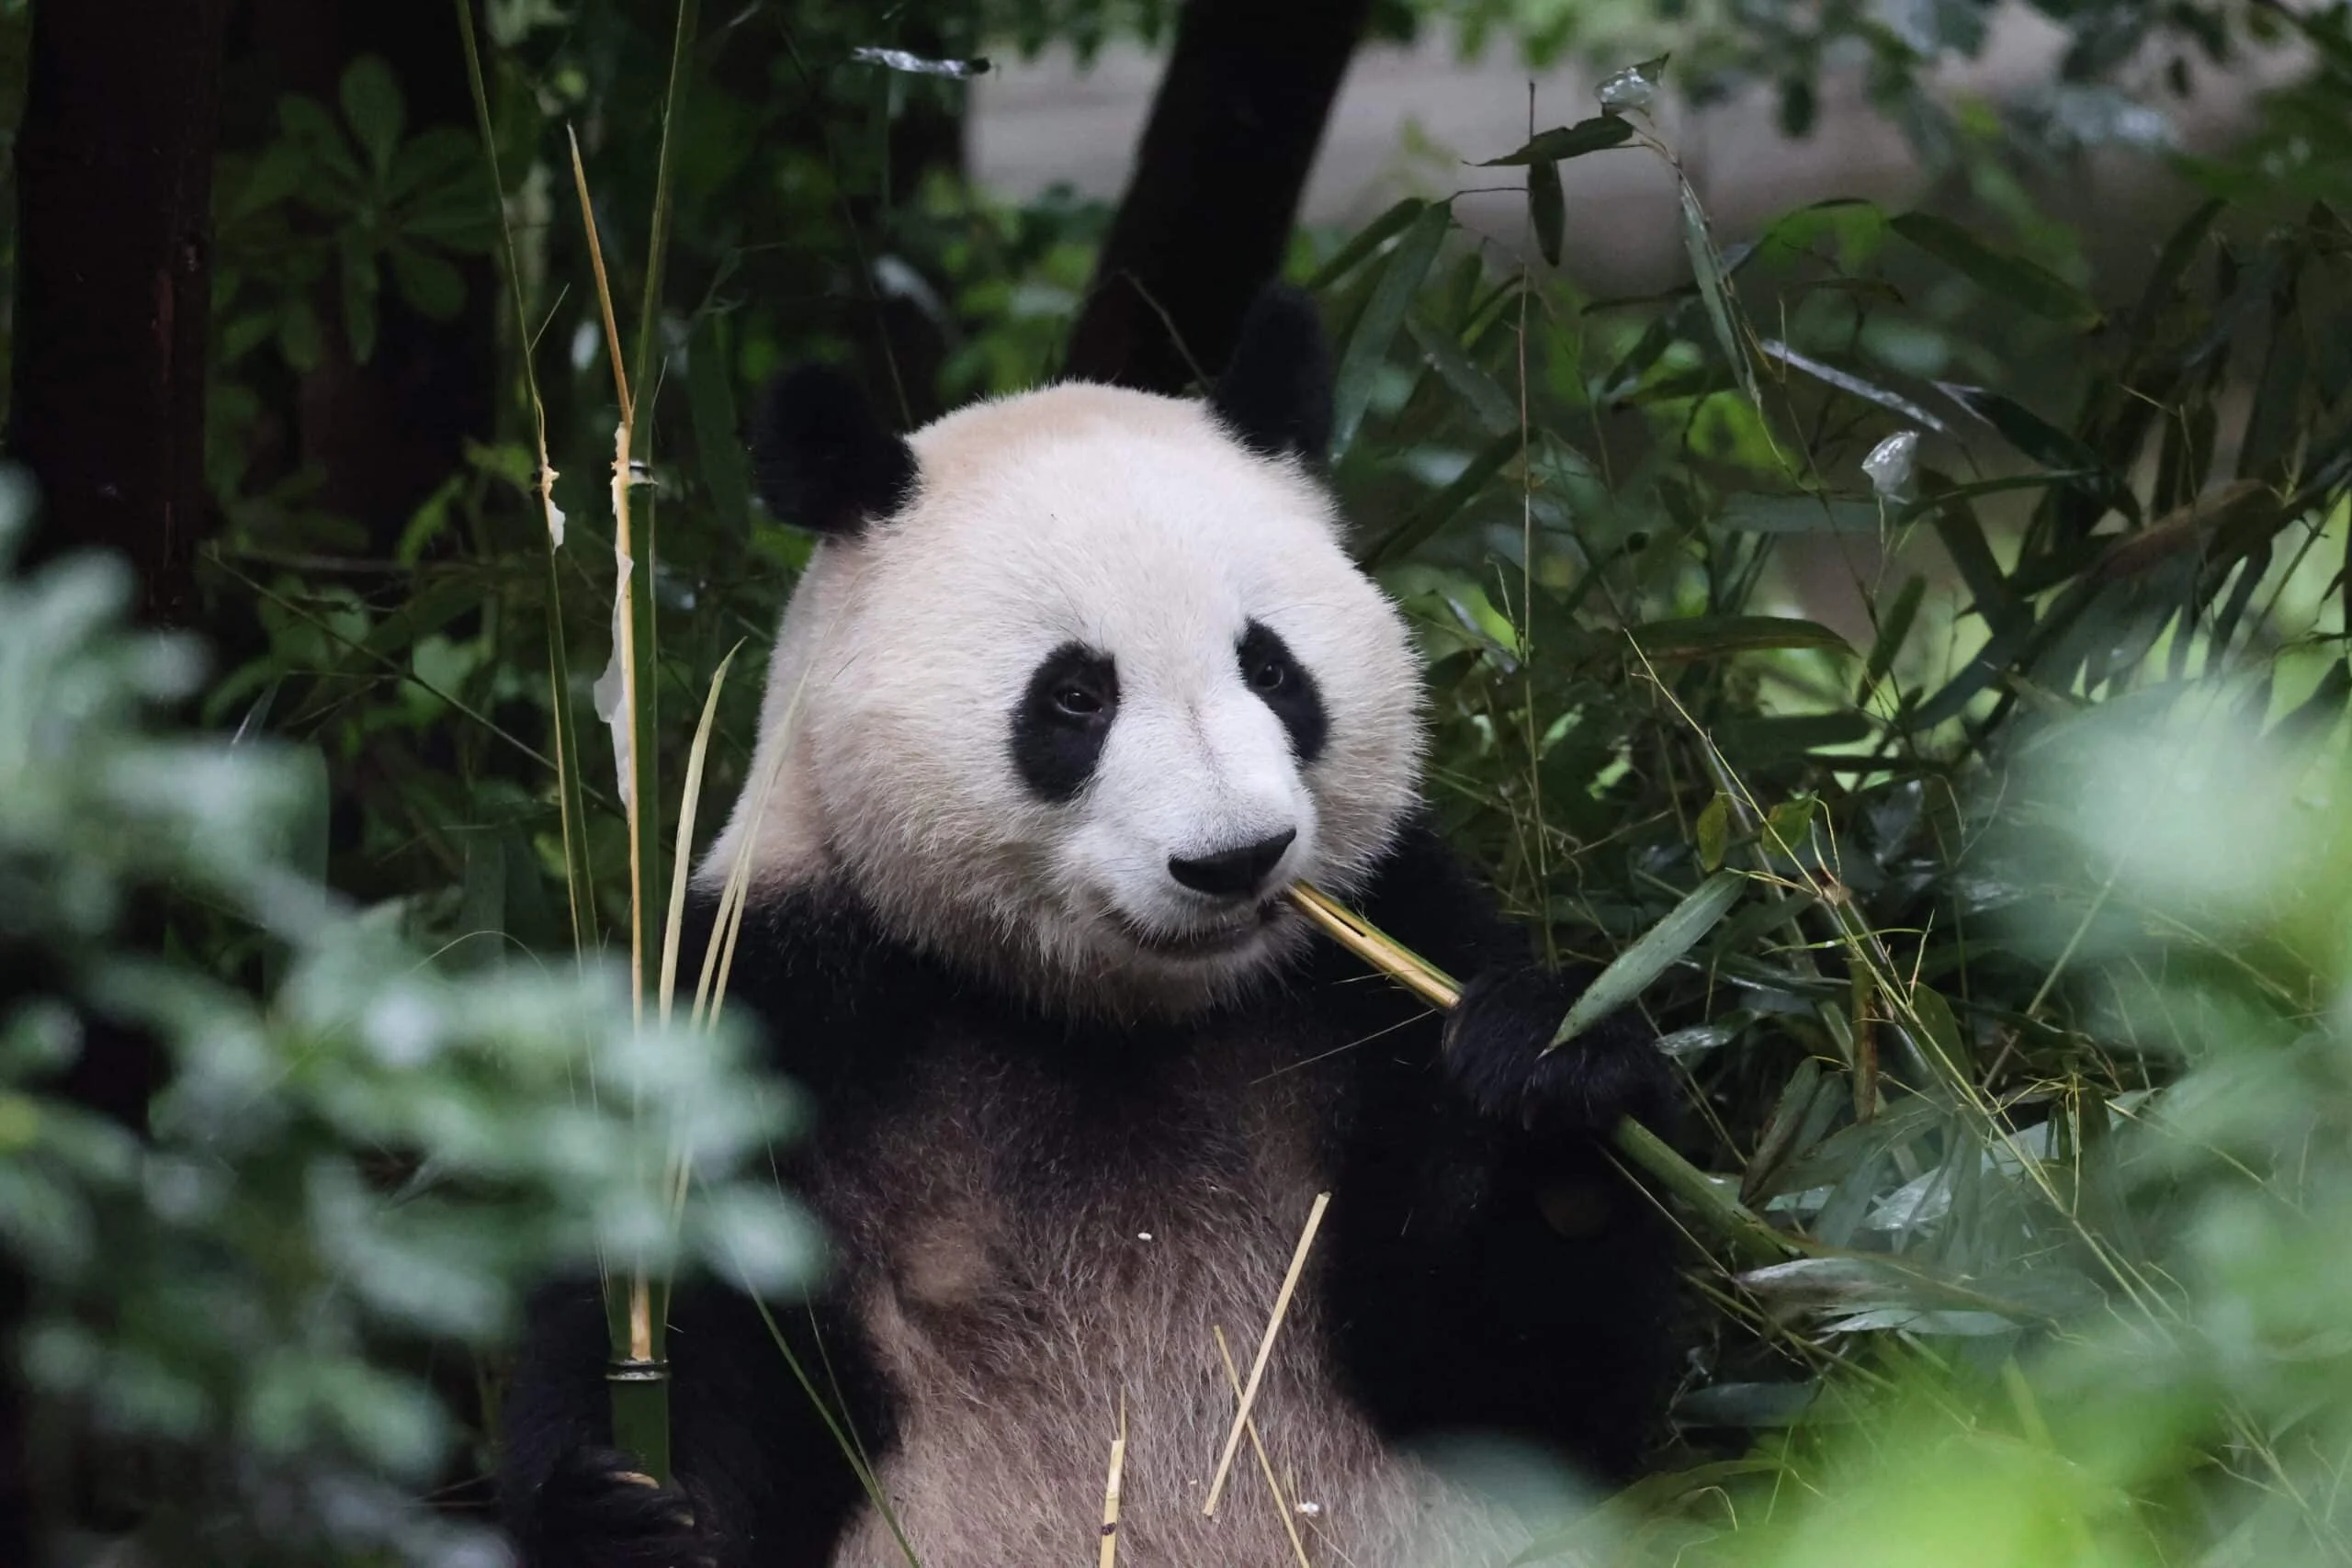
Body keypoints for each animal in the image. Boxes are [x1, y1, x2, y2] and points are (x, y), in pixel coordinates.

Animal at [498, 285, 1678, 1568]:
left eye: (1271, 669)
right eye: (1076, 696)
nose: (1234, 859)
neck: (1105, 1014)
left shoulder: (1390, 945)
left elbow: (1523, 1383)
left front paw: (1548, 1069)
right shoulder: (764, 1004)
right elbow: (674, 1329)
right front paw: (625, 1511)